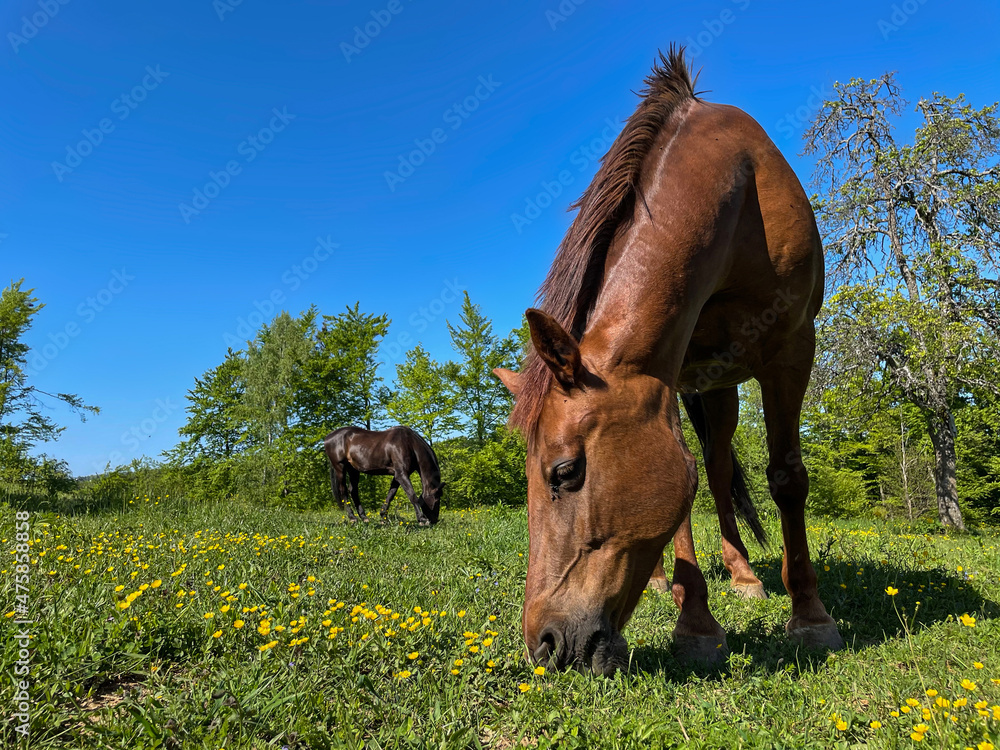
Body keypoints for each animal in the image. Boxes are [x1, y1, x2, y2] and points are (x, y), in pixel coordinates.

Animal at [492, 50, 844, 680]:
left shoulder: (792, 349)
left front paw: (810, 615)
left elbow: (786, 478)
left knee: (723, 468)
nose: (544, 647)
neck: (740, 198)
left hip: (723, 389)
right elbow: (685, 488)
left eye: (564, 472)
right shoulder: (669, 371)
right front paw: (696, 625)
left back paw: (746, 576)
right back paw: (672, 582)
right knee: (709, 474)